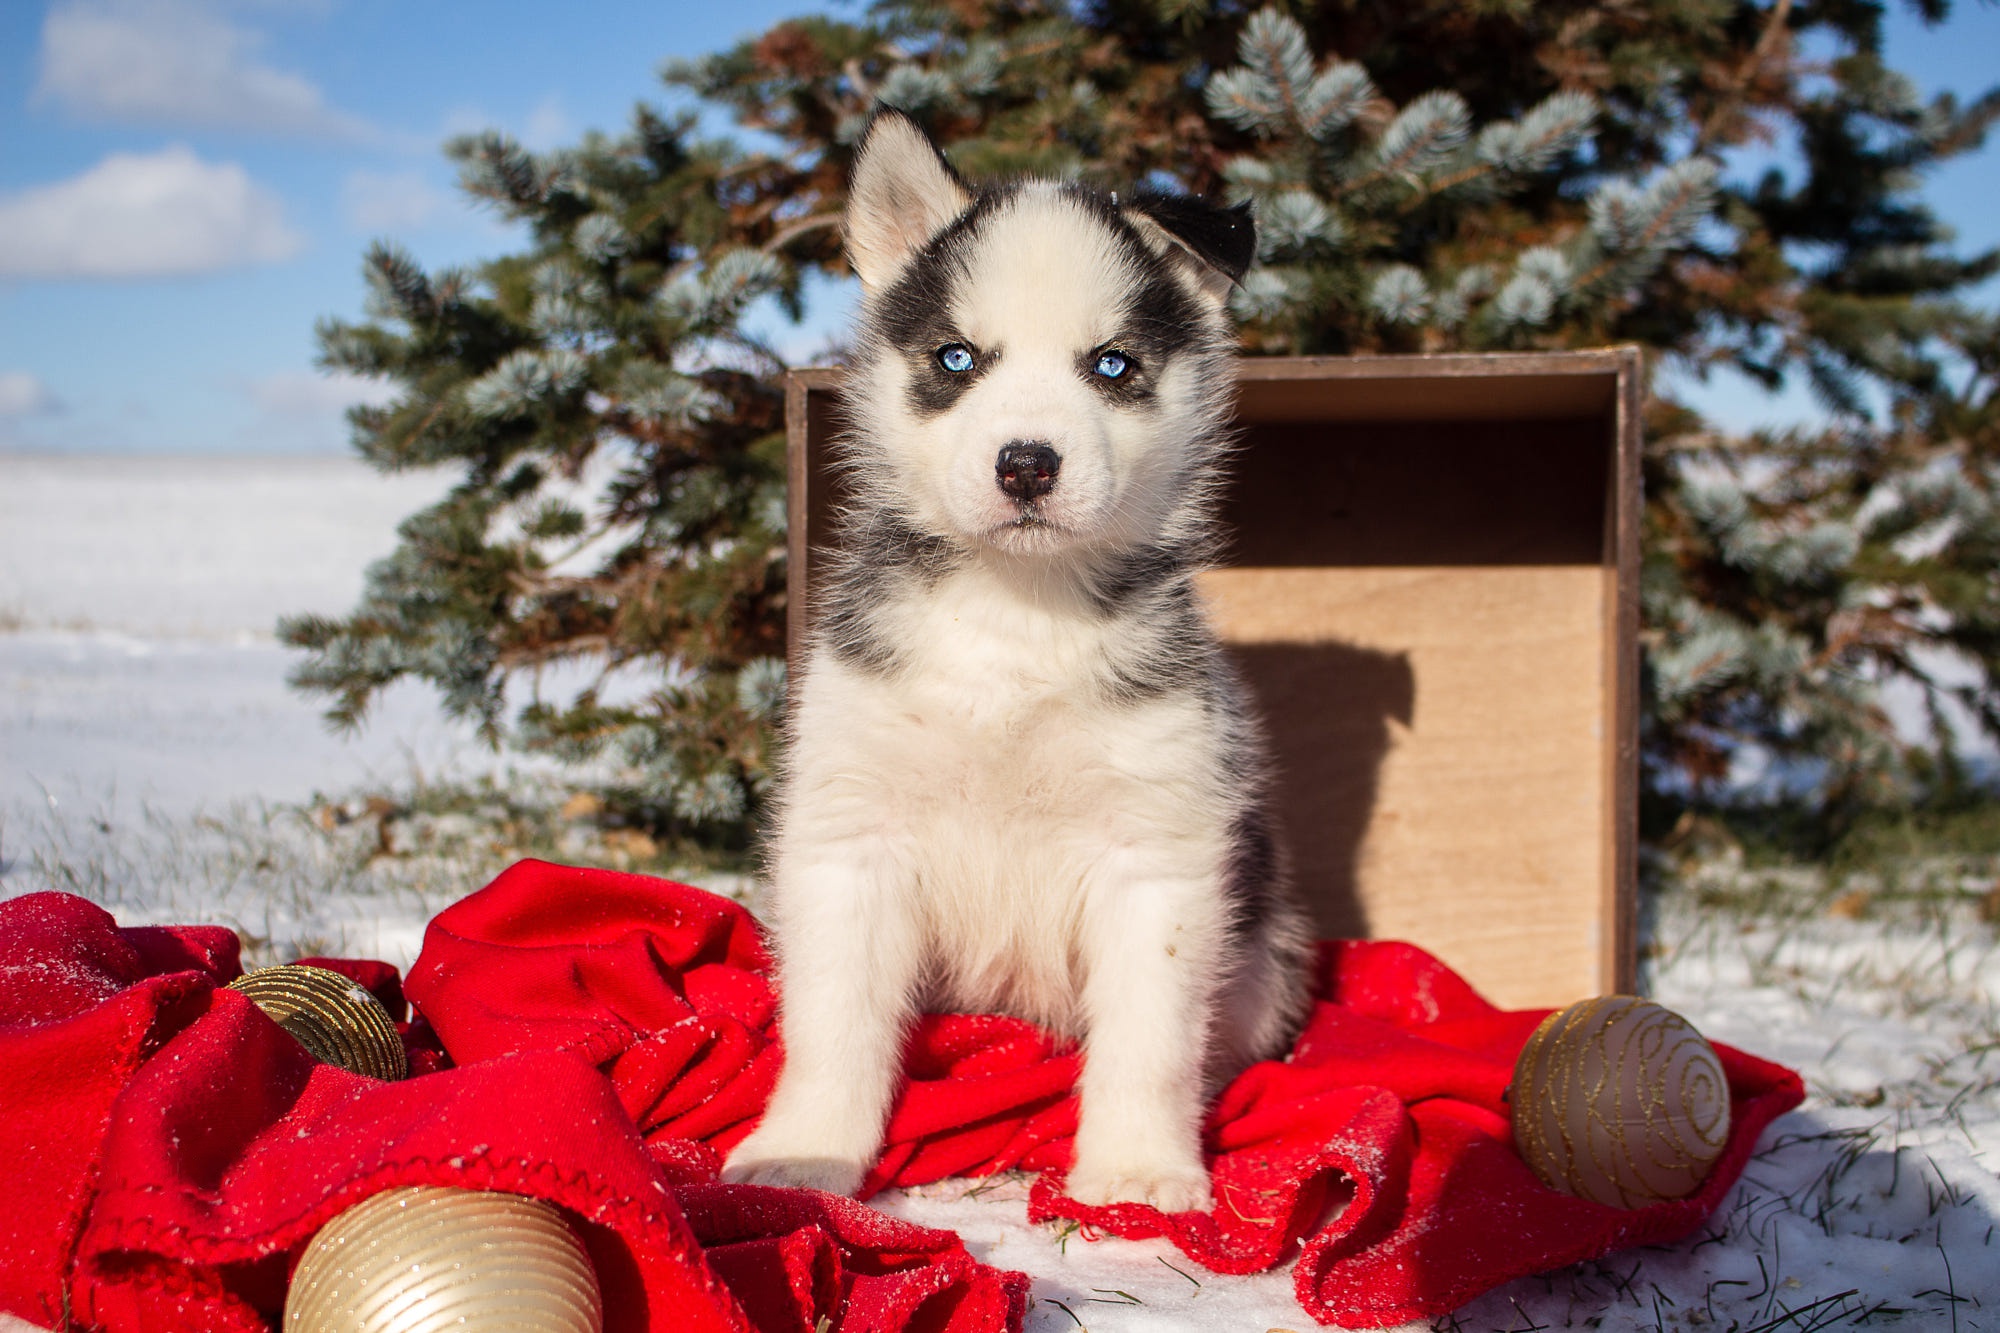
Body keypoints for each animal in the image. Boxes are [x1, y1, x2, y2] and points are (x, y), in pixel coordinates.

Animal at [720, 109, 1312, 1208]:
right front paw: (805, 1151)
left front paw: (1134, 1171)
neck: (1015, 618)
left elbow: (1149, 1037)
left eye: (1112, 366)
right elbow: (833, 1023)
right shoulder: (849, 835)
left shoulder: (1157, 851)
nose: (1027, 464)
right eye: (956, 358)